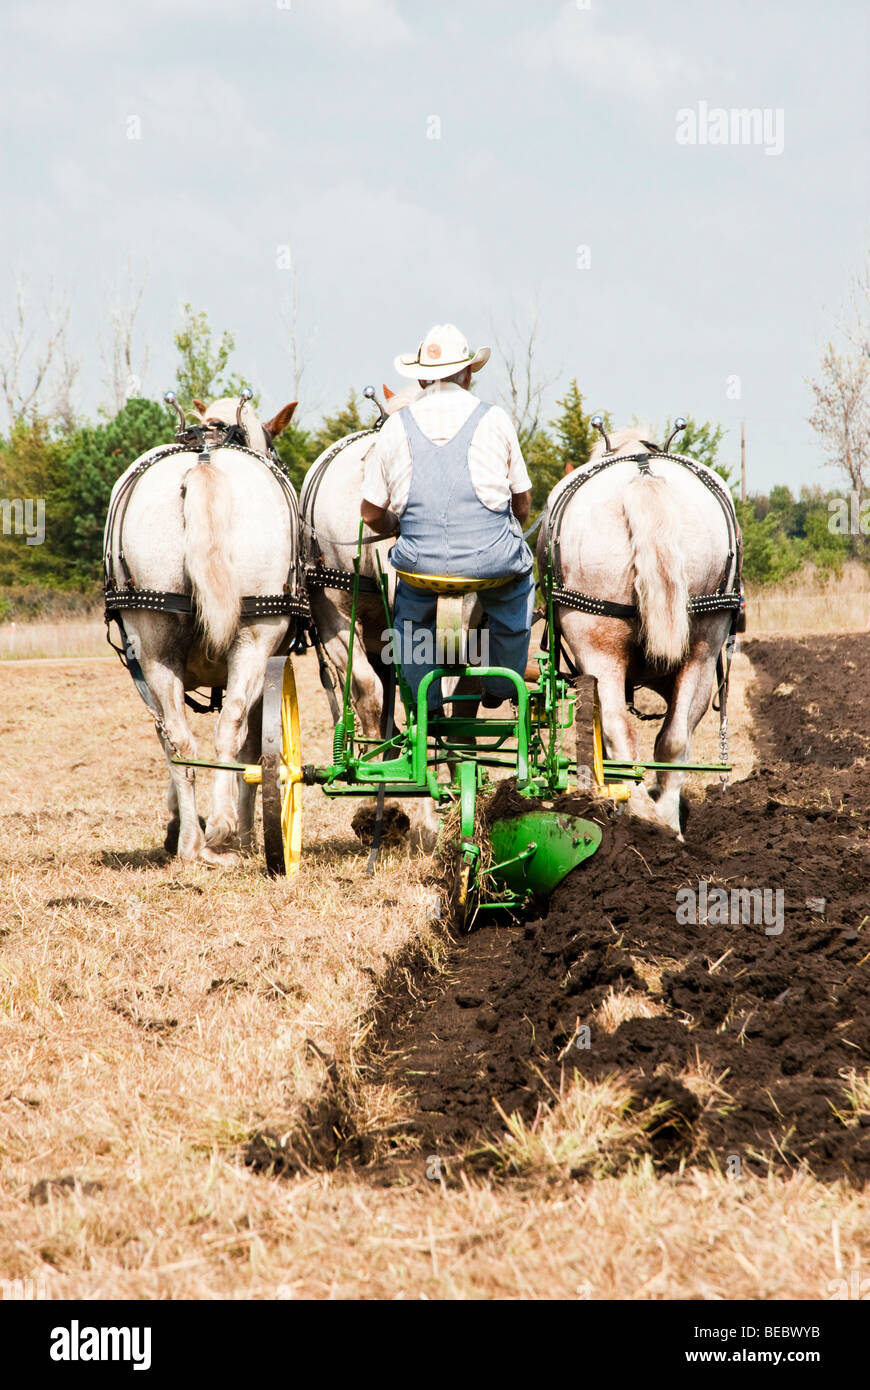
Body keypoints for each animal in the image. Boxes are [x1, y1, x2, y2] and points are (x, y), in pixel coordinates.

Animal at [102, 397, 294, 861]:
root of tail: (203, 463)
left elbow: (171, 741)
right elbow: (250, 746)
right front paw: (245, 829)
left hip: (152, 647)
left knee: (182, 741)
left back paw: (192, 841)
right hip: (253, 642)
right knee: (223, 730)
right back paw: (220, 828)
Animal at [539, 425, 739, 834]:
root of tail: (643, 473)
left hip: (598, 649)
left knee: (619, 731)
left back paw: (632, 813)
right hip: (703, 645)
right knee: (674, 739)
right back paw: (665, 825)